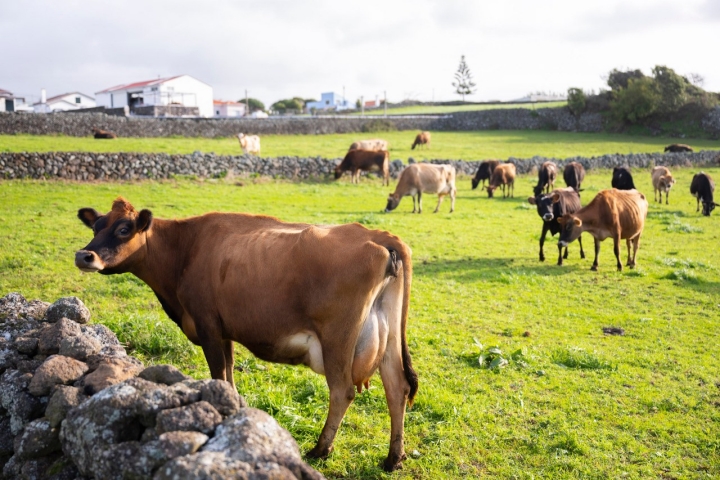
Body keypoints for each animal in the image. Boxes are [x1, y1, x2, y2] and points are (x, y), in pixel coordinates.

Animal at [74, 198, 418, 472]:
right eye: (96, 228)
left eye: (123, 229)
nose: (84, 255)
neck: (185, 250)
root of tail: (378, 234)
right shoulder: (224, 330)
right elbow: (229, 373)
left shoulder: (207, 325)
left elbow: (218, 374)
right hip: (386, 337)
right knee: (397, 387)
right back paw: (393, 458)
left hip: (338, 338)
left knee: (343, 391)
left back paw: (321, 449)